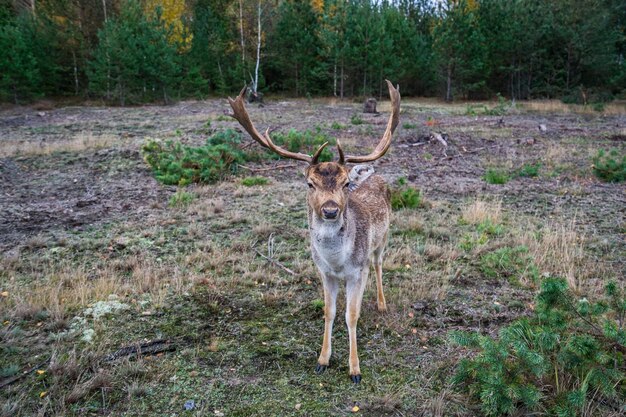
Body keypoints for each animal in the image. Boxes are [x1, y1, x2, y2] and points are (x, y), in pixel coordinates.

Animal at [227, 79, 398, 382]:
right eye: (310, 183)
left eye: (345, 183)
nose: (330, 210)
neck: (337, 262)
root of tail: (375, 174)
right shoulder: (323, 272)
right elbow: (329, 312)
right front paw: (322, 360)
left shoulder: (357, 271)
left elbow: (351, 315)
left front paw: (355, 369)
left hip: (383, 239)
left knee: (379, 264)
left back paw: (380, 303)